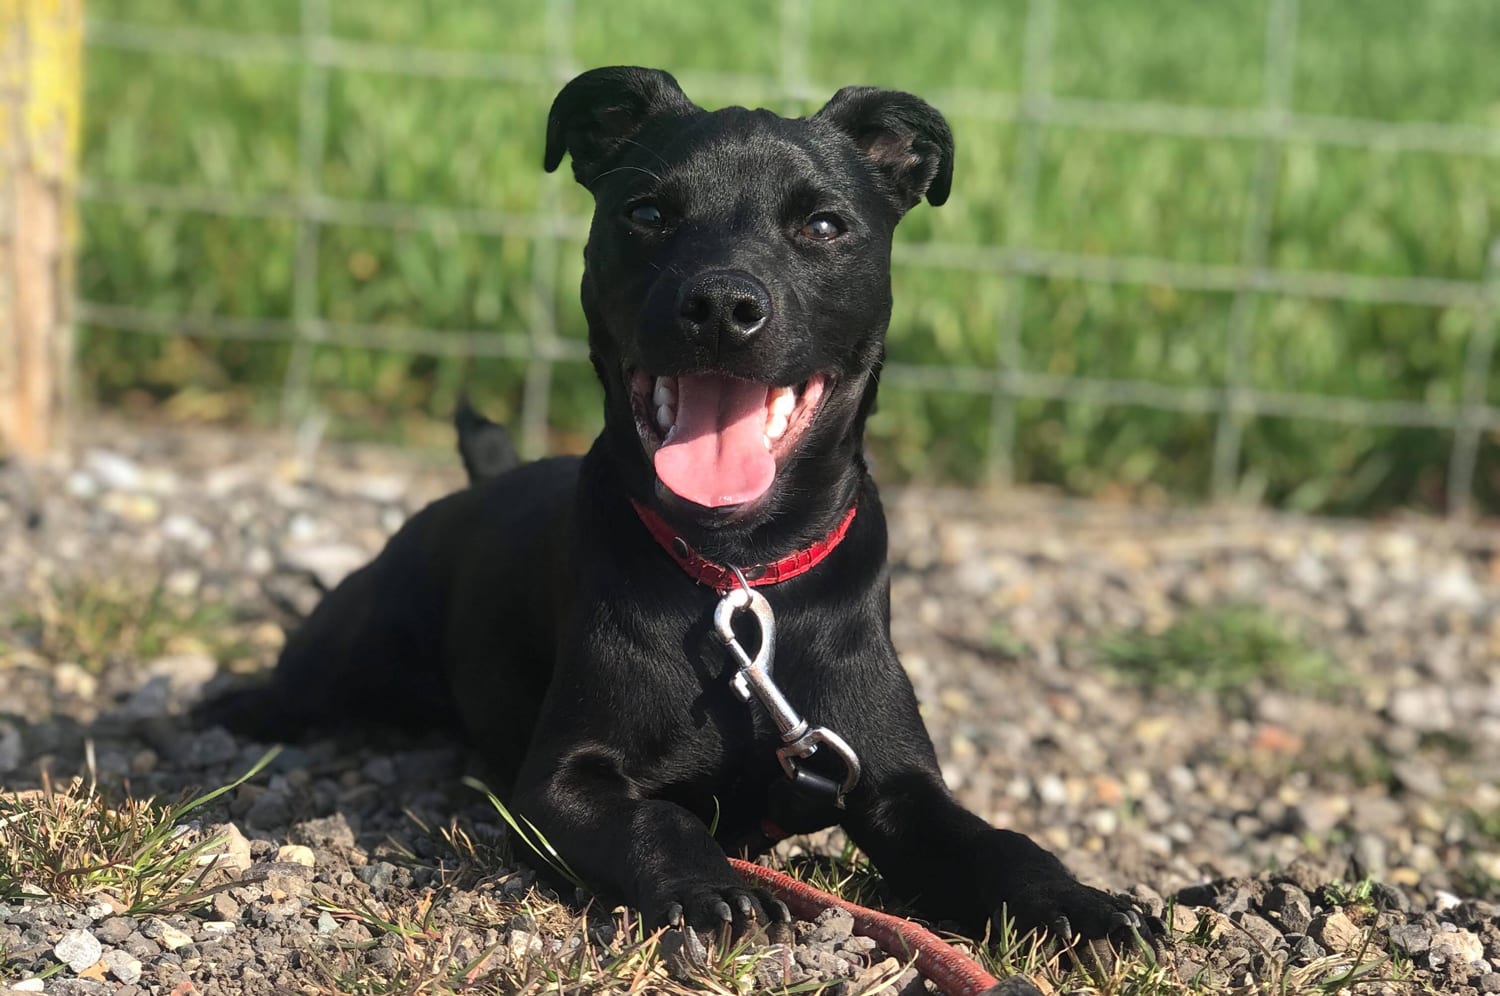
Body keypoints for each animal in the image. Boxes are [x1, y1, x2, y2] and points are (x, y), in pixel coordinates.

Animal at [202, 66, 1146, 948]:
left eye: (824, 225)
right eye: (648, 212)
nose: (723, 306)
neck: (740, 573)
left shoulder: (892, 783)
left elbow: (994, 844)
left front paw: (1081, 904)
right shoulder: (562, 782)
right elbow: (656, 817)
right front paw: (708, 889)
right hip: (351, 647)